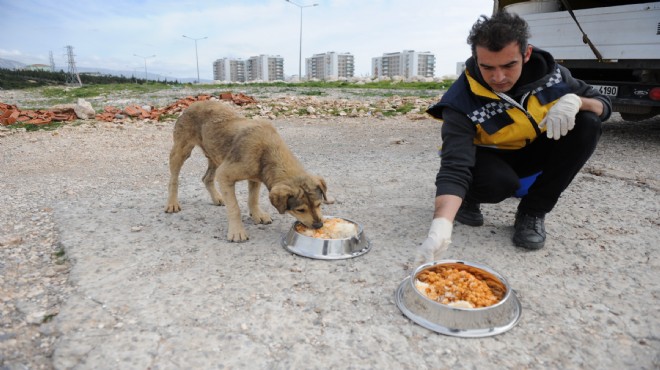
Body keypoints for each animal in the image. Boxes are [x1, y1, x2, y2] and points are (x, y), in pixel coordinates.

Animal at [165, 99, 330, 241]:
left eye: (318, 204)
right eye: (300, 210)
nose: (319, 225)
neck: (268, 150)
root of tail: (193, 104)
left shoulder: (255, 177)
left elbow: (253, 199)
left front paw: (257, 215)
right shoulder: (225, 175)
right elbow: (234, 208)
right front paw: (237, 231)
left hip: (215, 156)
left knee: (207, 178)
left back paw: (217, 198)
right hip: (181, 151)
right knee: (173, 179)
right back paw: (172, 203)